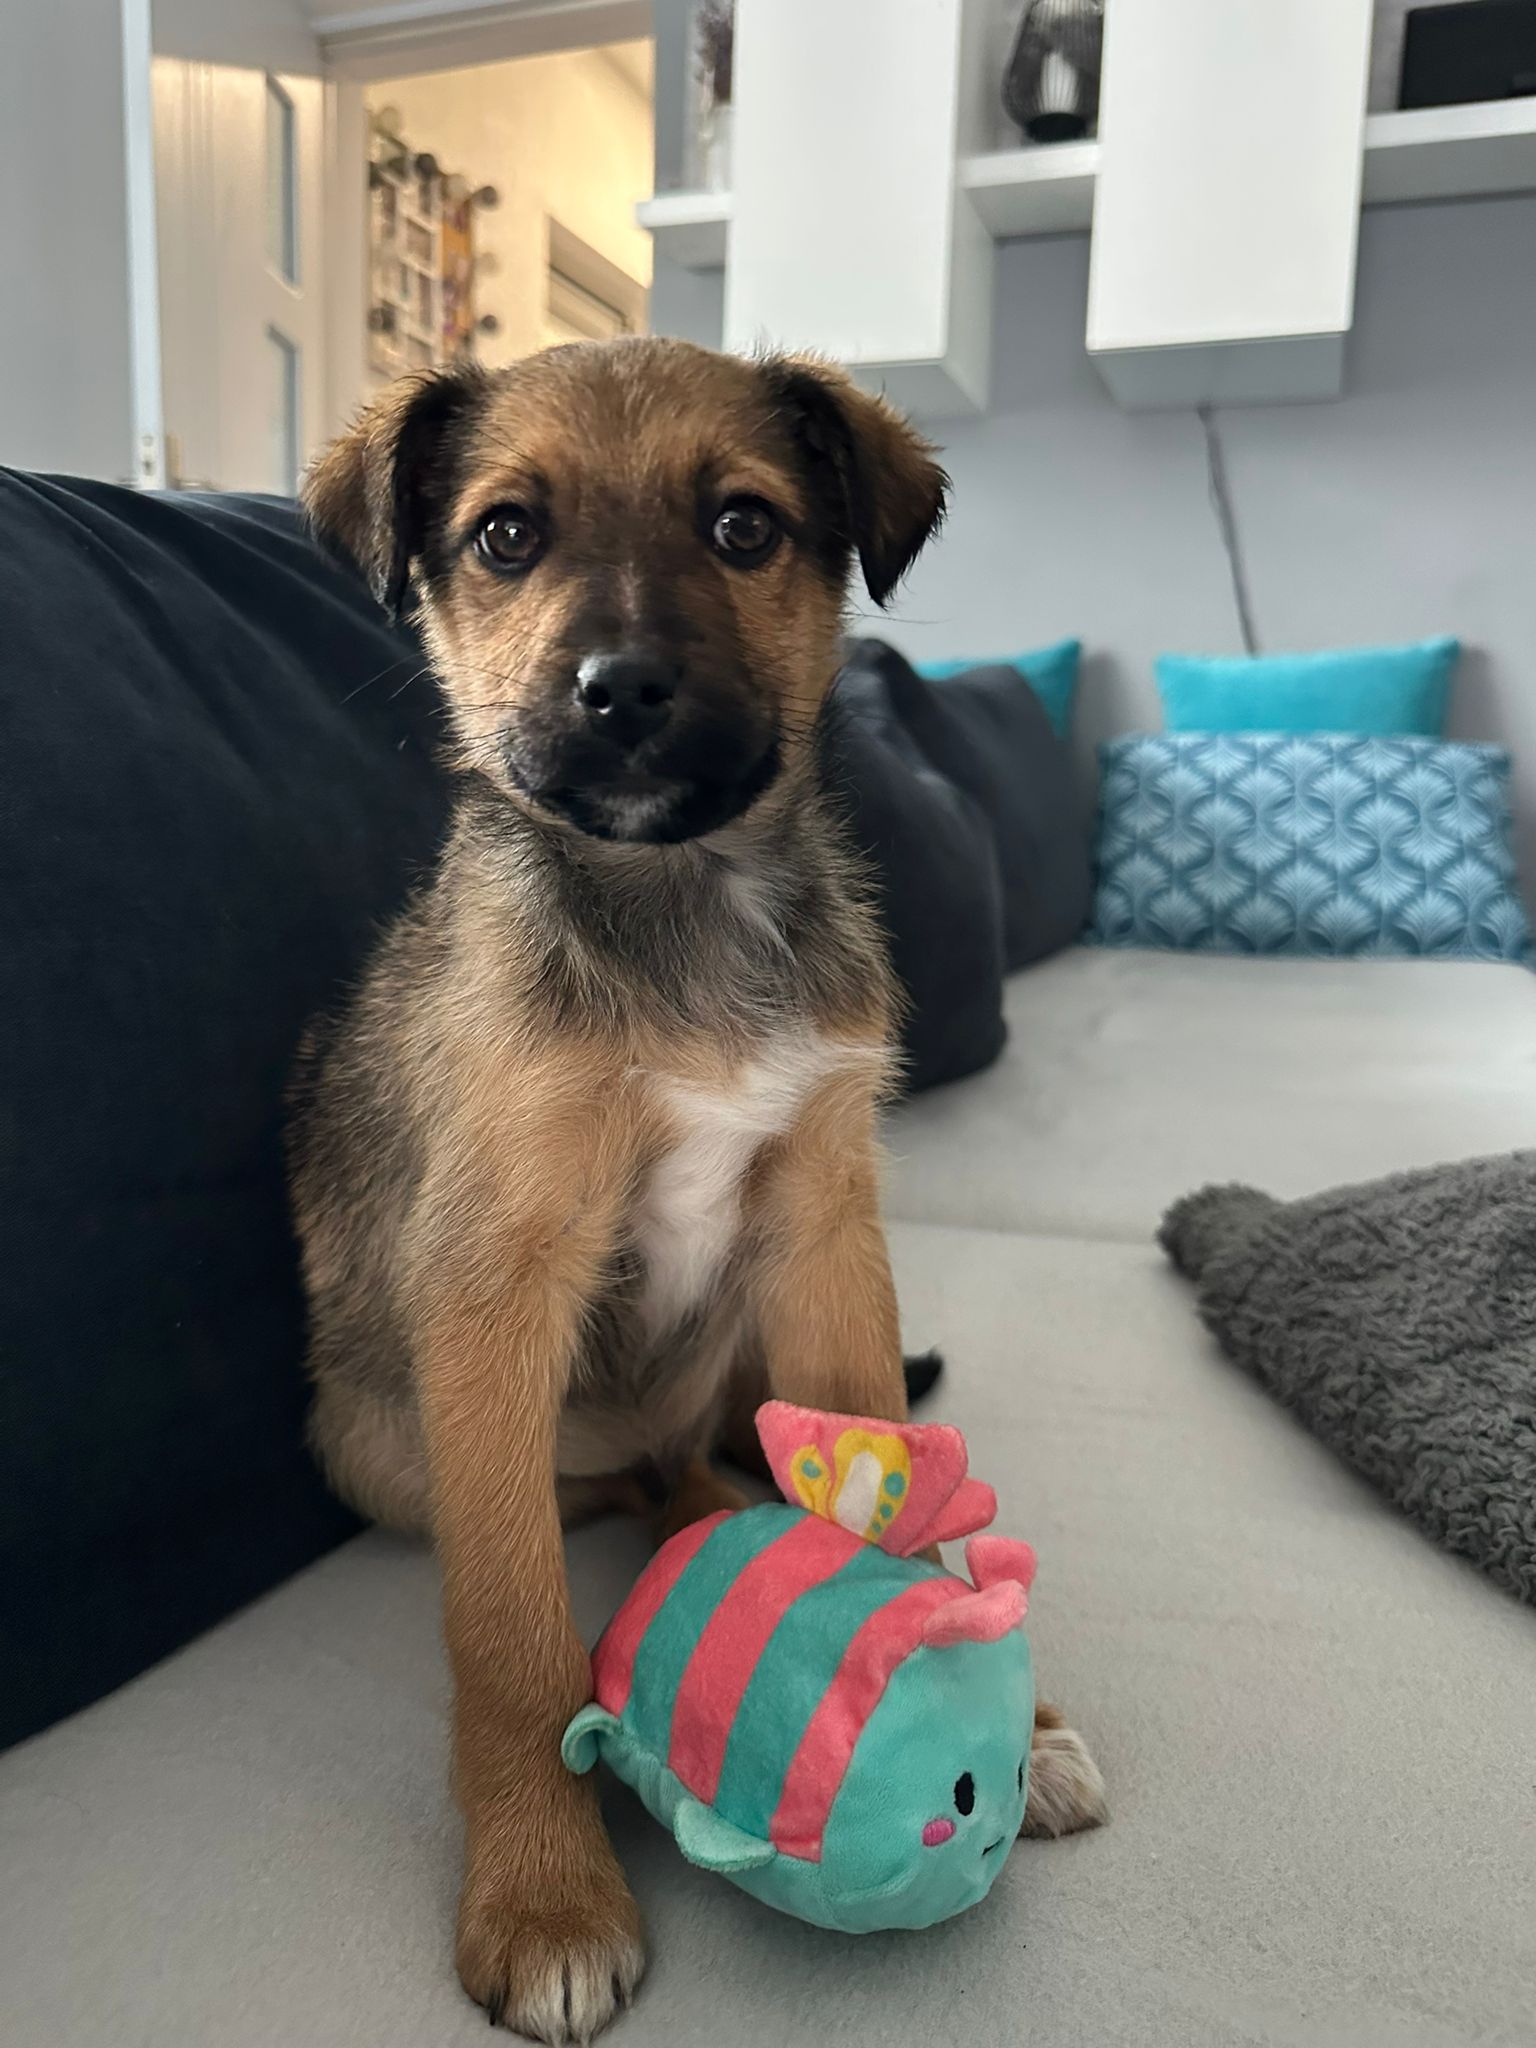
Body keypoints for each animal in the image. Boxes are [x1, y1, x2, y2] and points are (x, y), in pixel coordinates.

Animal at [290, 338, 1104, 2044]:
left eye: (744, 527)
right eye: (505, 536)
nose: (623, 690)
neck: (680, 899)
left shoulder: (827, 1234)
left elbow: (888, 1451)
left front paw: (982, 1676)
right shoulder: (497, 1286)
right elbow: (512, 1626)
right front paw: (545, 1896)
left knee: (690, 1458)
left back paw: (733, 1506)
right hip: (377, 1446)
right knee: (581, 1493)